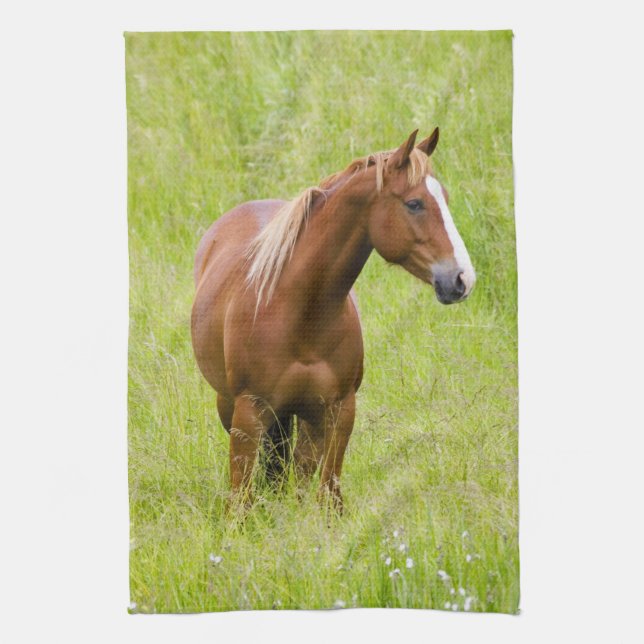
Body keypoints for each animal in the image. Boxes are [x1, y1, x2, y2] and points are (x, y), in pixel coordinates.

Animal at [191, 128, 475, 512]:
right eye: (414, 203)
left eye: (444, 197)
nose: (462, 279)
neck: (298, 313)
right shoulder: (248, 414)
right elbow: (241, 500)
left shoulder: (338, 411)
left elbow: (326, 495)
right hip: (231, 406)